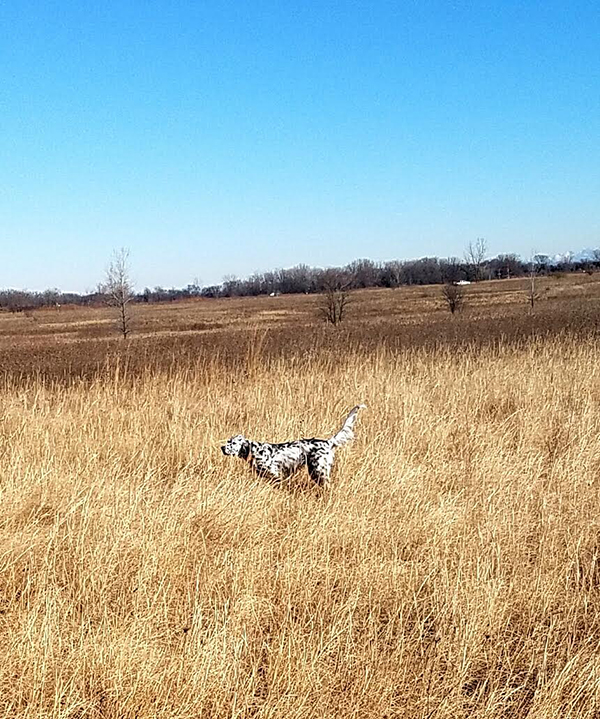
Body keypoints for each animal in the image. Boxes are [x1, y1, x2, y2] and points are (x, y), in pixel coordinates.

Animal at [220, 404, 366, 490]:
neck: (256, 450)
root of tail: (328, 442)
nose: (222, 448)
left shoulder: (276, 474)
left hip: (319, 471)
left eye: (233, 443)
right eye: (228, 441)